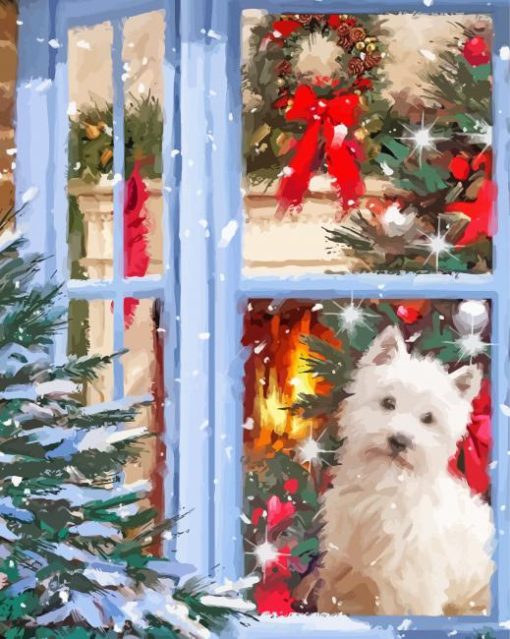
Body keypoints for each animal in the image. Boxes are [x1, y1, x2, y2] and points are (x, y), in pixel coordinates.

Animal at [298, 328, 494, 616]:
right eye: (388, 402)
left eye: (428, 418)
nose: (399, 440)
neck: (383, 487)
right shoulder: (345, 569)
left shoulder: (409, 584)